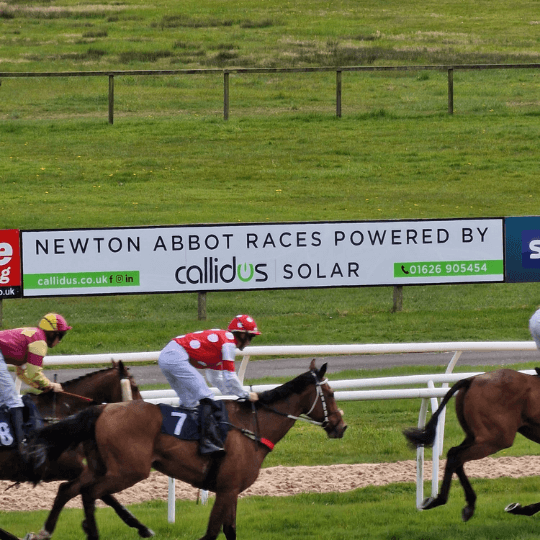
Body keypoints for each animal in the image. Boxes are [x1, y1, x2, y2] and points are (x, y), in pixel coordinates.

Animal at [2, 362, 154, 540]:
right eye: (135, 386)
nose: (143, 414)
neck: (60, 413)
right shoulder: (72, 468)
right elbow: (102, 495)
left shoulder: (79, 469)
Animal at [29, 360, 346, 540]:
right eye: (330, 393)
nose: (341, 426)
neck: (252, 426)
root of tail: (101, 410)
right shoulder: (227, 488)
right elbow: (211, 533)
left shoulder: (230, 489)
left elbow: (229, 531)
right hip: (129, 470)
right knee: (89, 493)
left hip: (100, 466)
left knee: (69, 489)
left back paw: (46, 530)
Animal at [400, 370, 540, 520]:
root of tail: (471, 379)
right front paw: (522, 508)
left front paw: (523, 508)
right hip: (495, 439)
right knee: (458, 456)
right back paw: (449, 501)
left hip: (474, 436)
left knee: (453, 453)